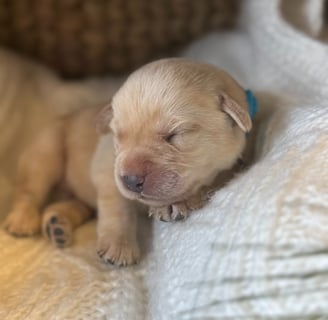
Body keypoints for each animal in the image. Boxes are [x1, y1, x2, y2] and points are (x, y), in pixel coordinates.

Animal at [3, 58, 258, 266]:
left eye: (174, 135)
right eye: (118, 135)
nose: (131, 180)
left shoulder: (234, 163)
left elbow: (214, 180)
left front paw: (181, 201)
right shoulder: (107, 167)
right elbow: (119, 208)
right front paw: (119, 247)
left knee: (70, 205)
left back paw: (57, 225)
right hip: (45, 152)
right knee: (28, 190)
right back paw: (22, 221)